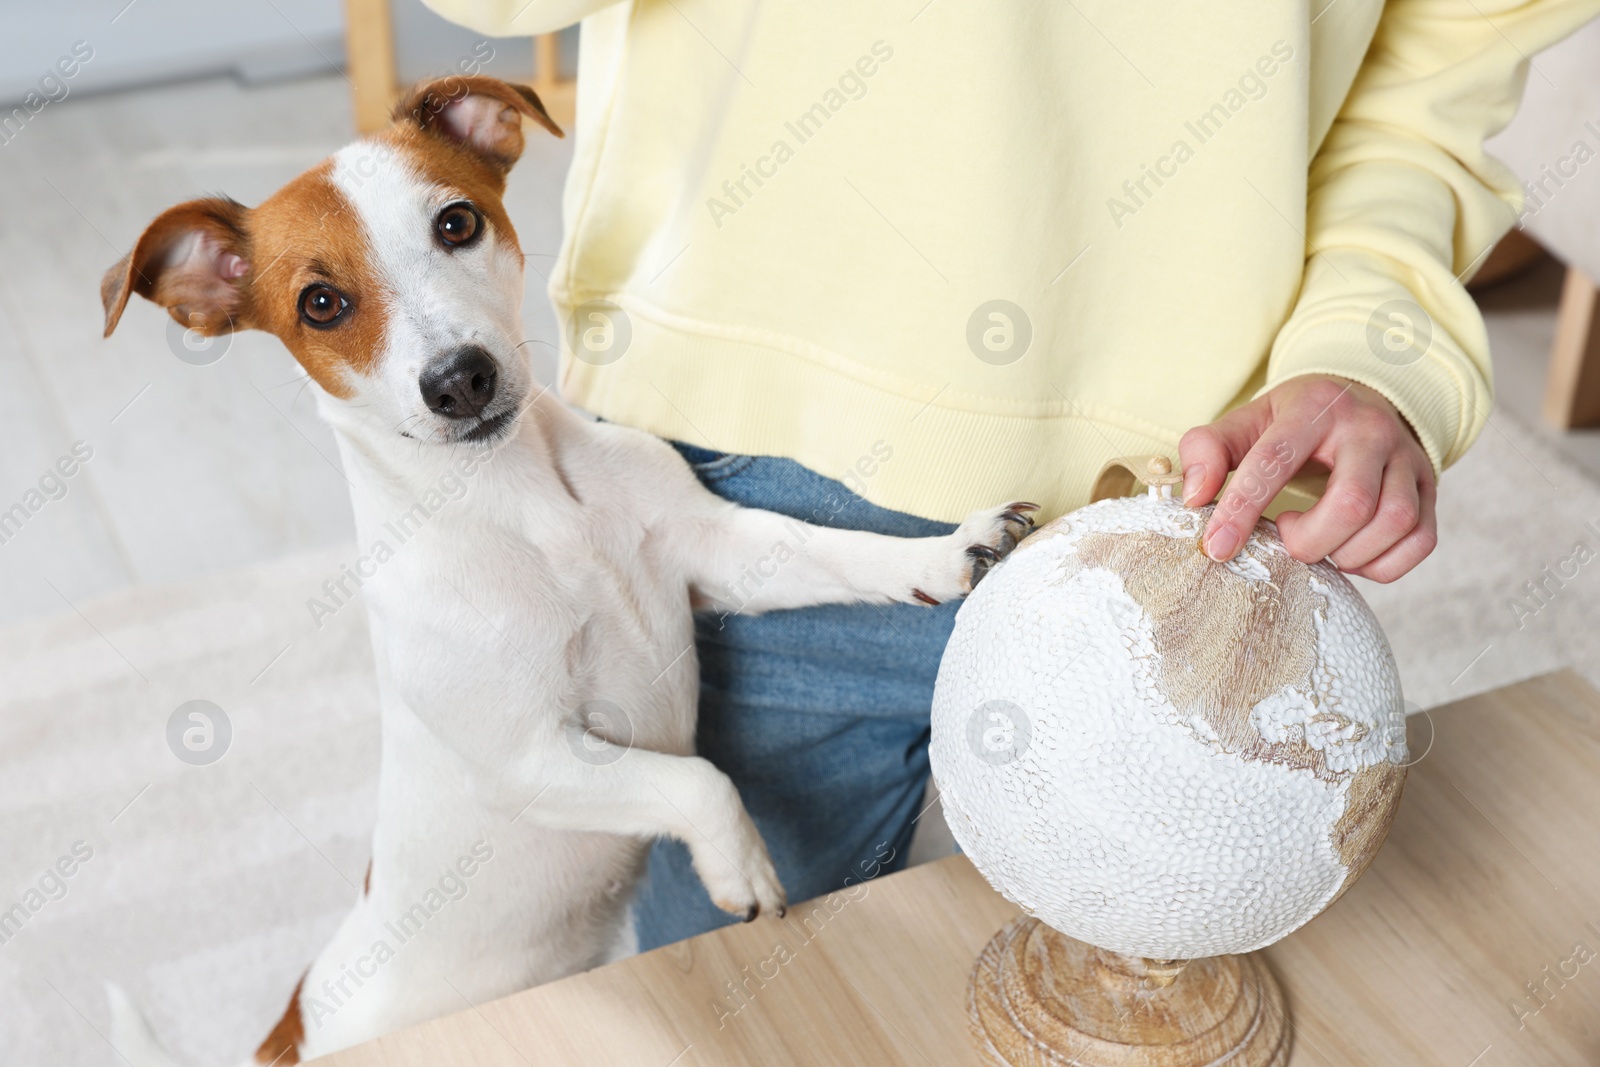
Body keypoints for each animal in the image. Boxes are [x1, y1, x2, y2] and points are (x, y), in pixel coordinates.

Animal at [96, 77, 1036, 1067]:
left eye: (457, 222)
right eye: (319, 302)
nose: (459, 378)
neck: (534, 504)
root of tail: (293, 1025)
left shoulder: (720, 552)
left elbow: (839, 551)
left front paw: (951, 548)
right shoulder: (533, 759)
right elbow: (698, 780)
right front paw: (739, 863)